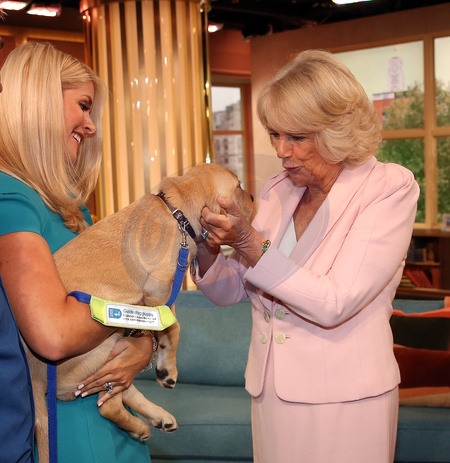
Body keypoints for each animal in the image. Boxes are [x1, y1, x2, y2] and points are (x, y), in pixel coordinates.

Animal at [24, 162, 255, 463]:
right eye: (238, 187)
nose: (253, 197)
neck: (176, 213)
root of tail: (34, 368)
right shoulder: (157, 293)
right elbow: (175, 328)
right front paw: (168, 368)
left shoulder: (163, 297)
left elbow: (171, 326)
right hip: (101, 345)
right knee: (108, 404)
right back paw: (141, 423)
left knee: (120, 389)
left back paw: (156, 418)